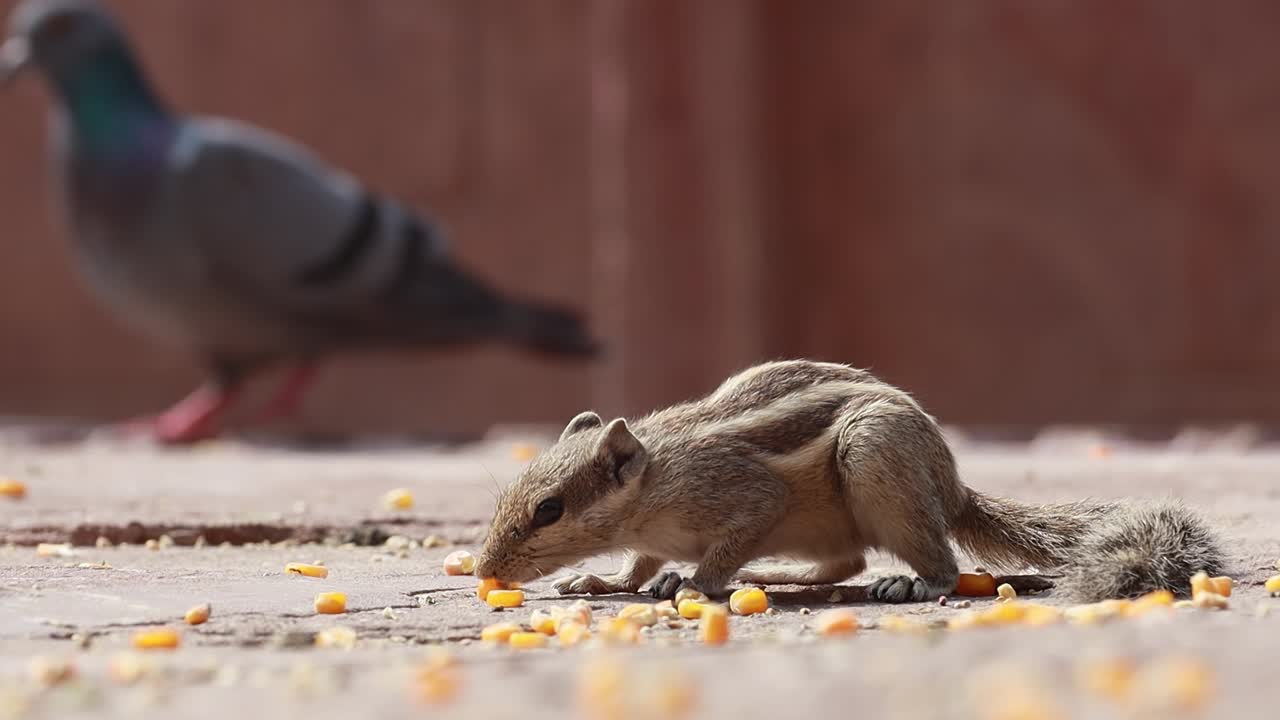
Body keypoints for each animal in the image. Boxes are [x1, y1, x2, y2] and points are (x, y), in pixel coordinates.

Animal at [475, 360, 1225, 603]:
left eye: (548, 509)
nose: (485, 570)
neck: (652, 480)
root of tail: (952, 486)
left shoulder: (741, 494)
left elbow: (722, 544)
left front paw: (692, 582)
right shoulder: (652, 534)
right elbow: (637, 564)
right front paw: (604, 581)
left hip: (875, 459)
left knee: (936, 563)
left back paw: (912, 583)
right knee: (845, 563)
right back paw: (774, 576)